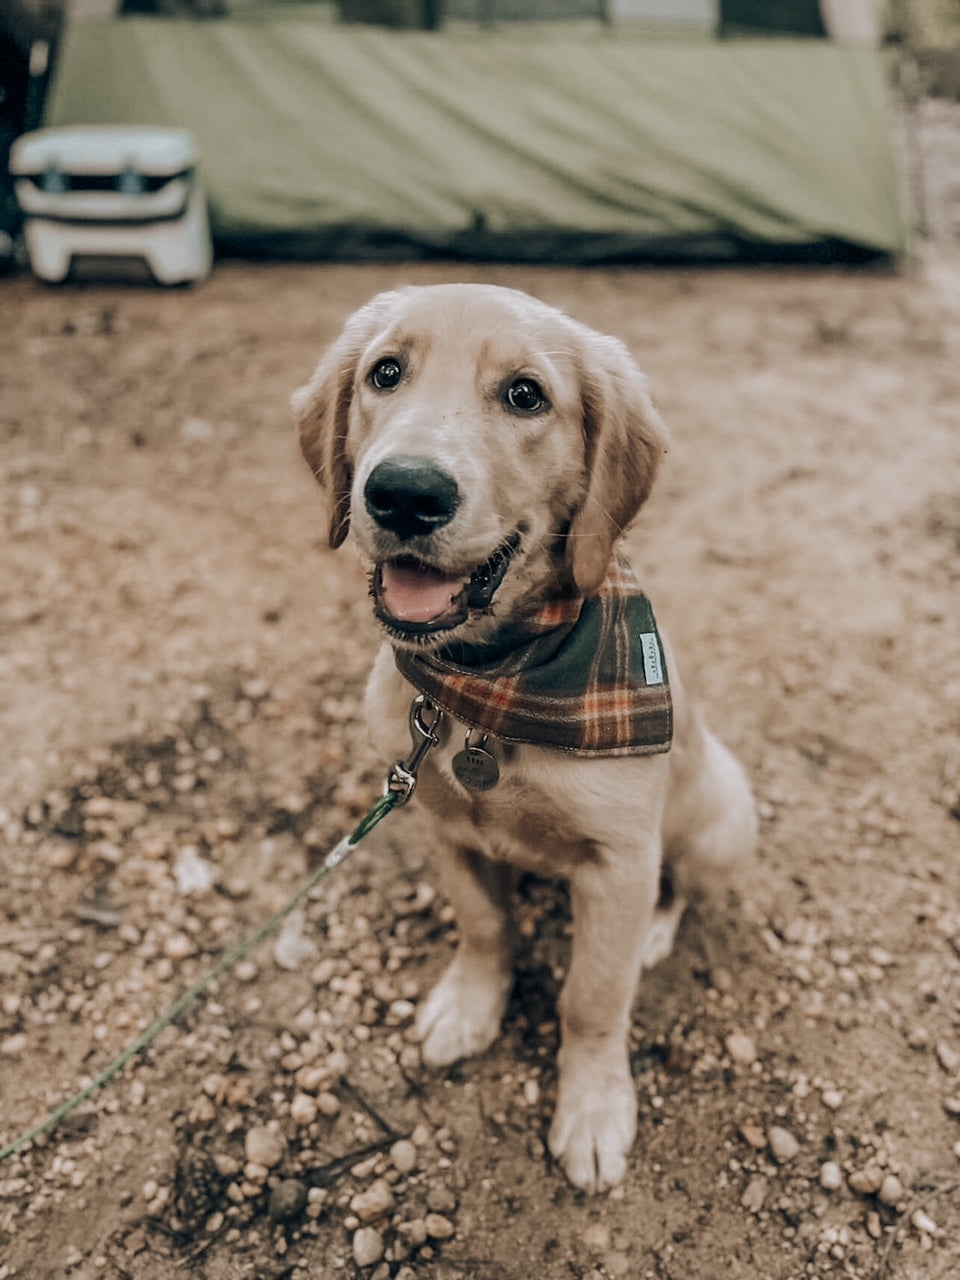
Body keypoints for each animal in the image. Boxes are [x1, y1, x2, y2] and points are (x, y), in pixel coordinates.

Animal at [293, 285, 757, 1192]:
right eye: (385, 373)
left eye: (525, 395)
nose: (403, 494)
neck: (492, 684)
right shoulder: (441, 823)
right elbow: (483, 925)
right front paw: (470, 1005)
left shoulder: (617, 861)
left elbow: (593, 996)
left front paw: (593, 1109)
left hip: (723, 817)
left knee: (679, 883)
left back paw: (657, 932)